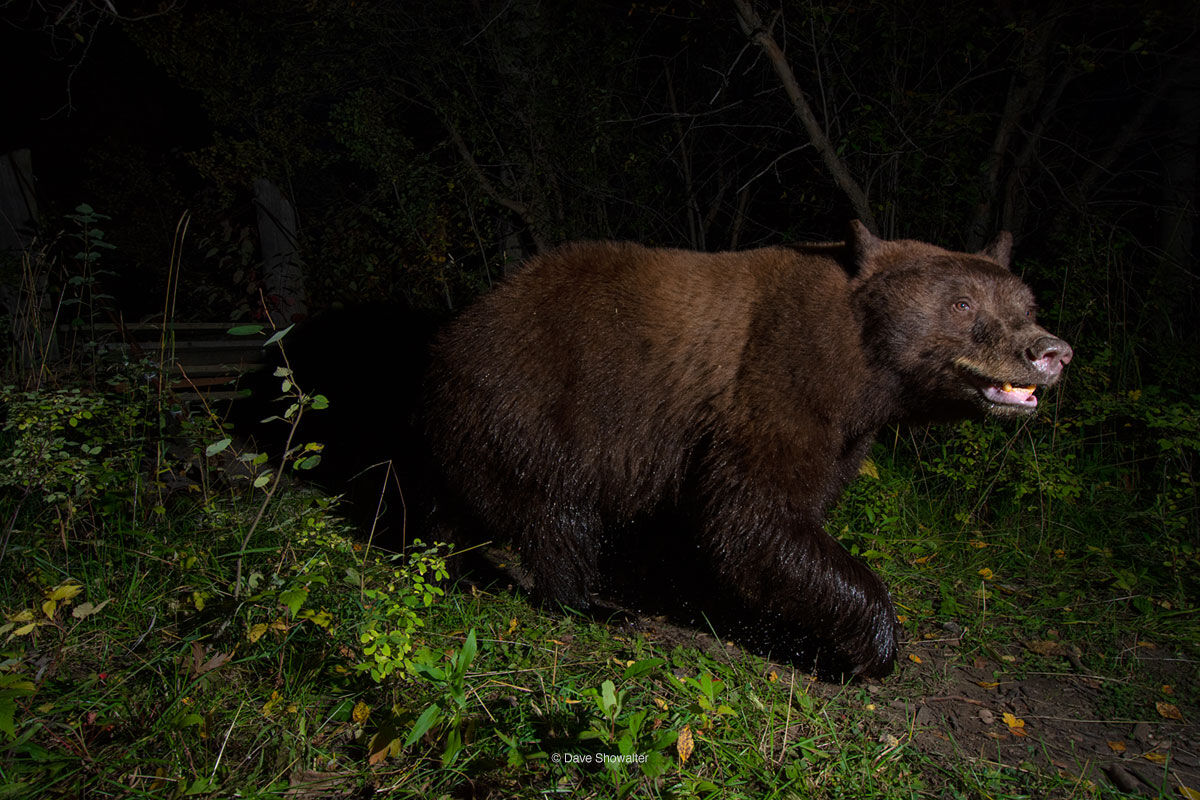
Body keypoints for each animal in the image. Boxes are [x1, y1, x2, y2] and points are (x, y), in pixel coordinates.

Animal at [422, 221, 1070, 681]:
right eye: (963, 304)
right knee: (557, 509)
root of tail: (458, 328)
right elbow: (753, 517)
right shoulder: (776, 376)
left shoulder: (841, 432)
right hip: (534, 400)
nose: (1051, 351)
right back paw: (590, 602)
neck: (861, 366)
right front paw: (871, 645)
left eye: (1027, 306)